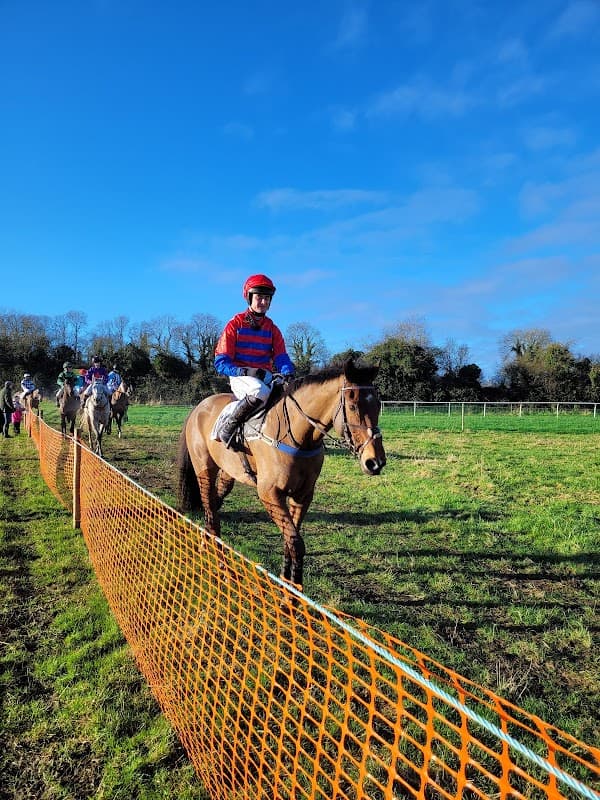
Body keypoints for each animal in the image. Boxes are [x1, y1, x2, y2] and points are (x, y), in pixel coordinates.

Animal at [176, 358, 386, 589]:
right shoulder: (270, 494)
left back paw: (205, 544)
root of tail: (199, 407)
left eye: (378, 405)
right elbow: (296, 543)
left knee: (213, 505)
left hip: (228, 473)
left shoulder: (302, 495)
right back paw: (223, 569)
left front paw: (288, 584)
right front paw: (293, 594)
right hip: (205, 469)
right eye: (352, 405)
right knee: (212, 515)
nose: (375, 462)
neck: (297, 436)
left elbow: (289, 542)